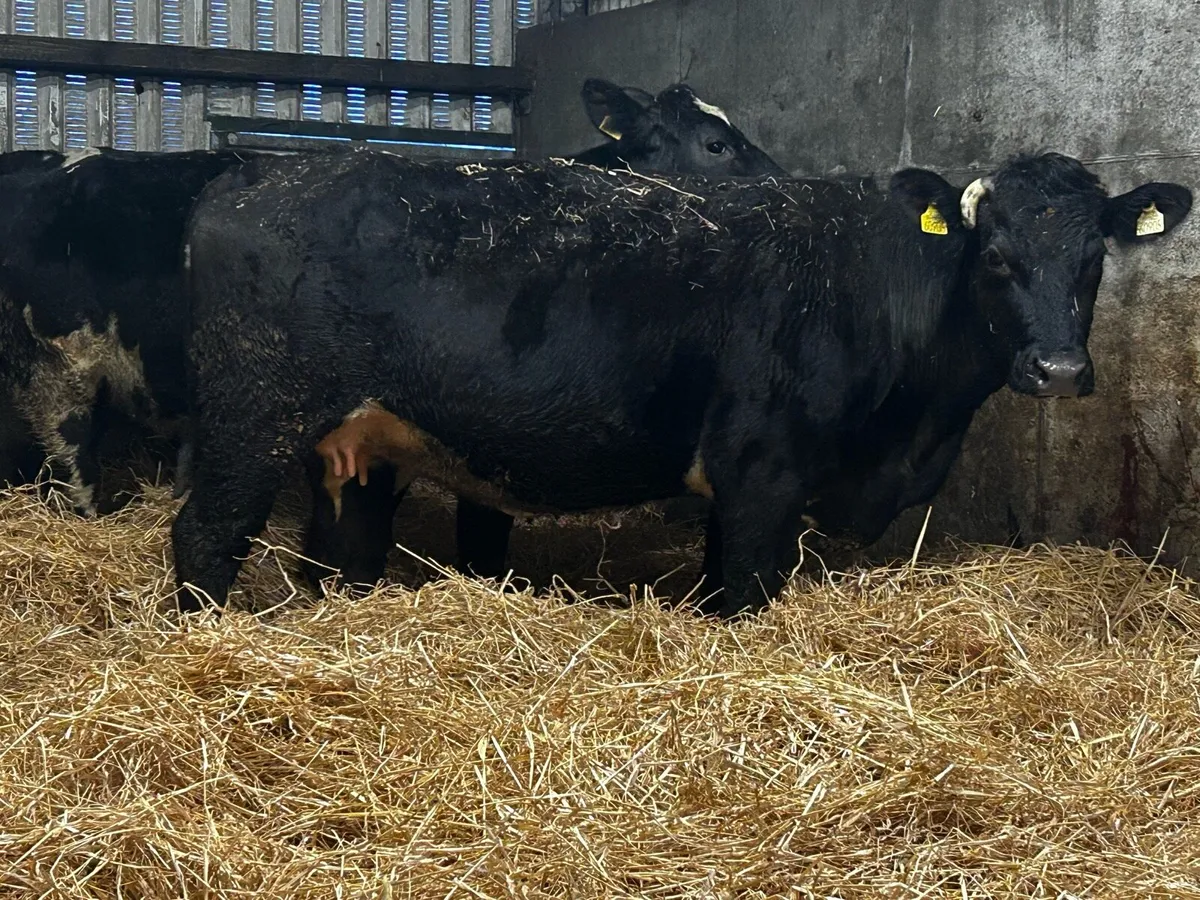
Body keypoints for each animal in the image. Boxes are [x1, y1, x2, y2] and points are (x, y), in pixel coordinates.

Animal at [170, 149, 1189, 617]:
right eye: (997, 257)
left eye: (1094, 260)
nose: (1058, 369)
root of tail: (253, 178)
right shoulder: (764, 473)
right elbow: (745, 592)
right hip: (252, 418)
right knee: (204, 538)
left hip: (355, 443)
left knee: (341, 554)